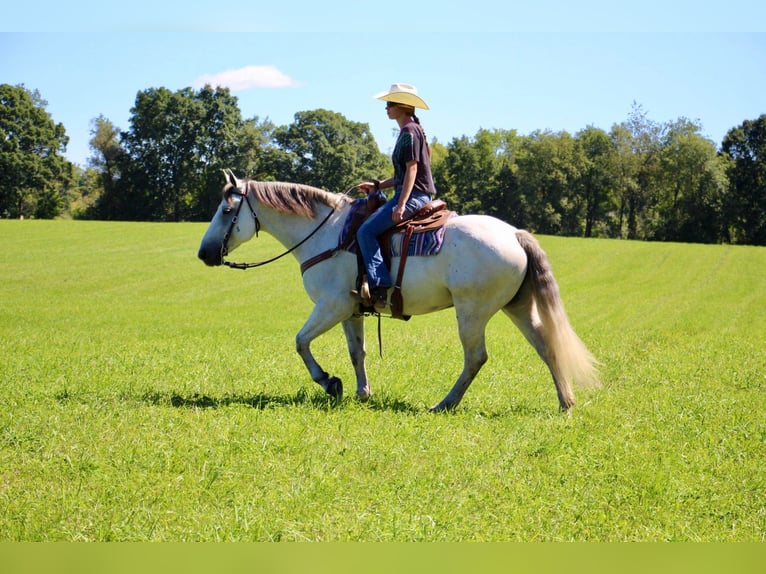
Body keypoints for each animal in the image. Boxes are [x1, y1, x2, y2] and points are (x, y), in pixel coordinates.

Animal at [196, 171, 600, 414]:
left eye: (226, 209)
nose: (204, 254)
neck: (326, 234)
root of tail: (515, 234)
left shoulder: (332, 305)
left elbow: (300, 342)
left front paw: (329, 382)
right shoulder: (352, 310)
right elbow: (356, 352)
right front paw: (360, 392)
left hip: (472, 311)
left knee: (476, 358)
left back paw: (445, 404)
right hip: (516, 307)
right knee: (546, 346)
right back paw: (565, 403)